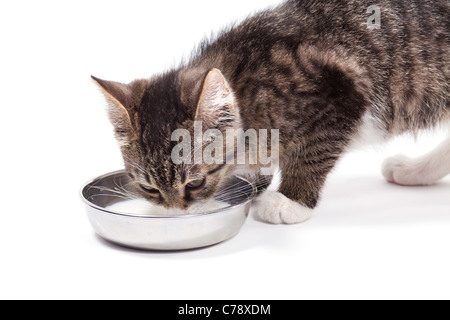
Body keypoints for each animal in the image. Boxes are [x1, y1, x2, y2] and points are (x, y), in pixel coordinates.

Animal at [93, 0, 448, 225]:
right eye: (149, 189)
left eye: (194, 184)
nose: (177, 213)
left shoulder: (340, 95)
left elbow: (312, 152)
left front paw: (290, 201)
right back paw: (416, 170)